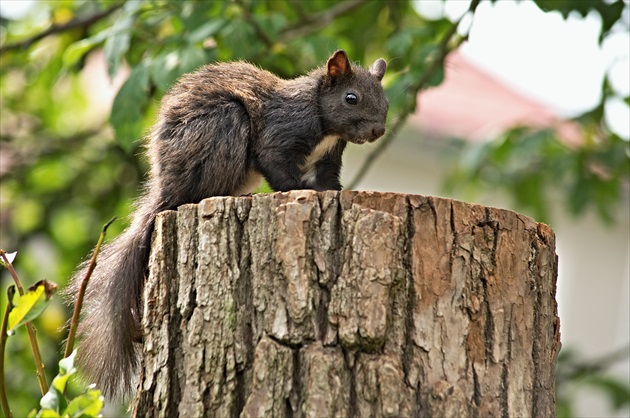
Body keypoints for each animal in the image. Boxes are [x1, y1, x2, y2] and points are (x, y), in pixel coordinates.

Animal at [65, 49, 390, 398]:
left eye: (384, 98)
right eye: (351, 98)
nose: (378, 131)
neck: (324, 123)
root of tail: (167, 189)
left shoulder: (329, 159)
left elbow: (329, 181)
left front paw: (336, 192)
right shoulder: (278, 135)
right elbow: (278, 168)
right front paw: (299, 190)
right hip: (223, 126)